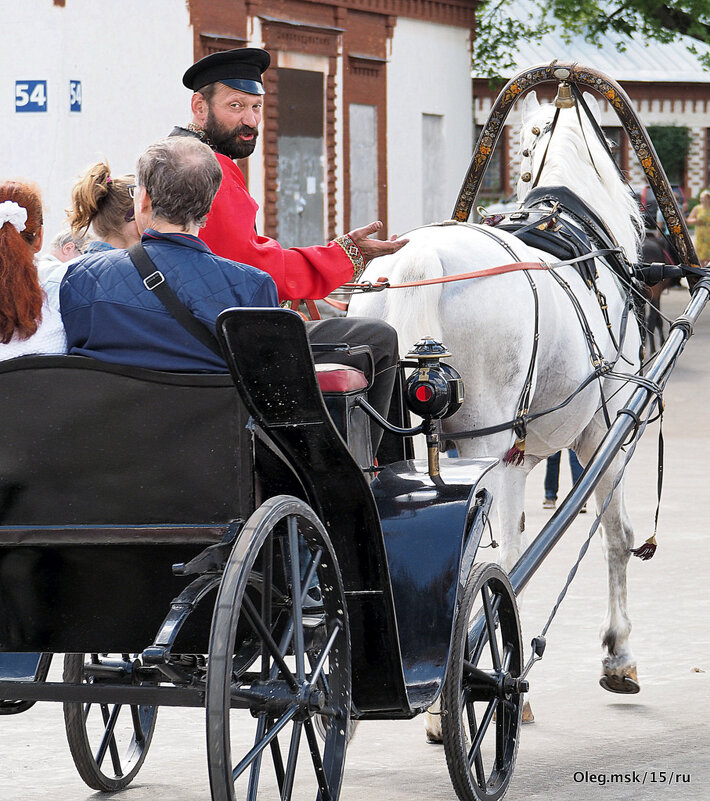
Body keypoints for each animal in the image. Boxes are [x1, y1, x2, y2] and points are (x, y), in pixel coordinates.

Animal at [354, 90, 648, 736]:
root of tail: (419, 257)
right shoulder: (606, 426)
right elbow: (613, 534)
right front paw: (618, 654)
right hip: (490, 439)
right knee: (493, 562)